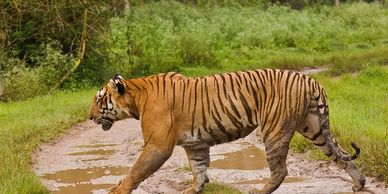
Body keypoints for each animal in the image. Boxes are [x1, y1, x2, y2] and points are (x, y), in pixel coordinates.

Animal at [89, 69, 366, 194]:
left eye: (99, 99)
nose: (89, 116)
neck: (136, 98)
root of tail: (310, 79)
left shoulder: (158, 145)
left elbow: (136, 170)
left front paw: (118, 190)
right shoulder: (195, 143)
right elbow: (199, 168)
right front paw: (195, 189)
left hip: (275, 130)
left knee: (280, 170)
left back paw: (259, 192)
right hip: (314, 127)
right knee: (340, 156)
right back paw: (359, 183)